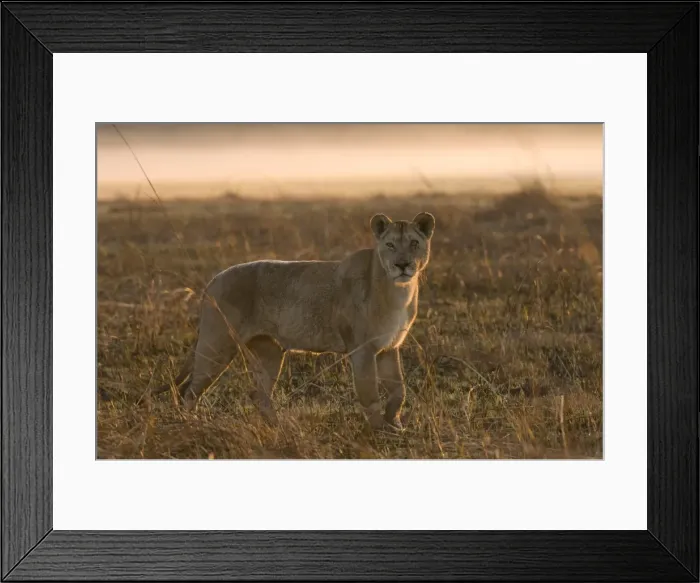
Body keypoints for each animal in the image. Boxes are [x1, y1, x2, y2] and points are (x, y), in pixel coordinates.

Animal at [153, 211, 435, 431]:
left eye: (413, 243)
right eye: (390, 245)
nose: (402, 265)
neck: (398, 290)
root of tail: (211, 282)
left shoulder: (389, 347)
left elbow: (398, 391)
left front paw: (395, 425)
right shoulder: (362, 349)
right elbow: (370, 394)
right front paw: (379, 432)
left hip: (268, 350)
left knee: (258, 394)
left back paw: (279, 427)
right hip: (217, 344)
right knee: (189, 390)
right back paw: (193, 425)